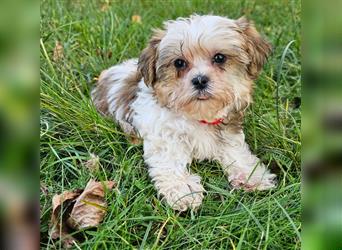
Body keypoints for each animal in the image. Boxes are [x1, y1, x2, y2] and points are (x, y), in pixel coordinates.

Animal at [92, 14, 276, 211]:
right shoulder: (164, 136)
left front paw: (251, 175)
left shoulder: (227, 130)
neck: (197, 116)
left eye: (219, 58)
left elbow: (235, 151)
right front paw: (182, 188)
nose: (200, 80)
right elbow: (170, 161)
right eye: (179, 63)